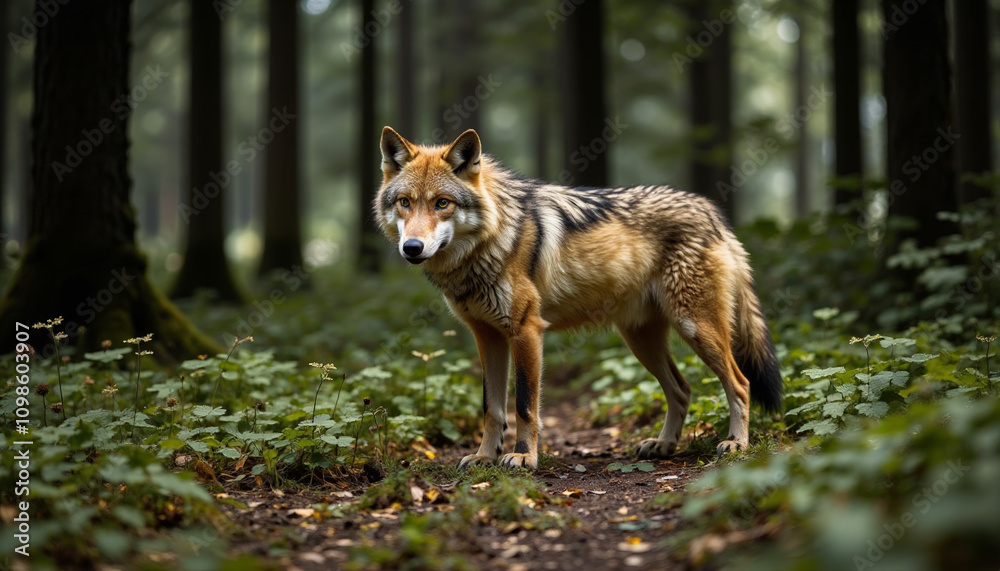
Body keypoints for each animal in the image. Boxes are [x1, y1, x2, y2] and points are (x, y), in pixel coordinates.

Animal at [374, 127, 782, 470]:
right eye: (405, 202)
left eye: (442, 203)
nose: (412, 248)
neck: (490, 240)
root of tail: (714, 213)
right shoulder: (487, 336)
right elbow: (492, 408)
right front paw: (484, 458)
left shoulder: (527, 331)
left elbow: (524, 405)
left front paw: (523, 458)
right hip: (641, 342)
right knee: (682, 389)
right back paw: (664, 445)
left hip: (696, 329)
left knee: (740, 383)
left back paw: (736, 444)